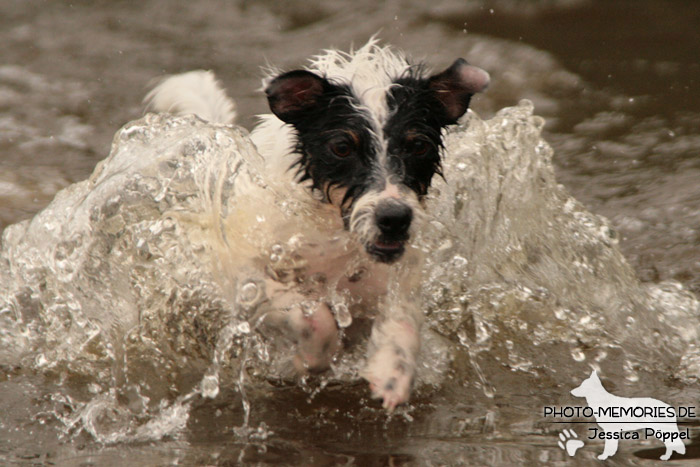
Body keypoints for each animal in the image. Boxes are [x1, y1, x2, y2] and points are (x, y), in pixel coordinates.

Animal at [145, 41, 490, 414]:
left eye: (419, 145)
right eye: (341, 147)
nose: (394, 218)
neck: (335, 237)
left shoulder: (399, 279)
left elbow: (404, 322)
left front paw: (392, 373)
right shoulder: (248, 280)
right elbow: (315, 318)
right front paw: (309, 360)